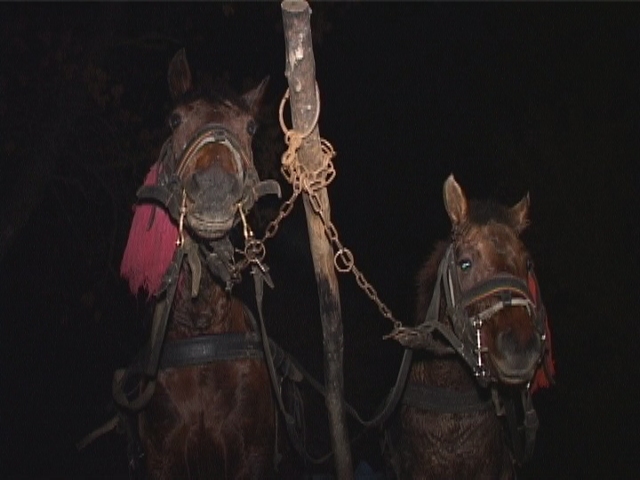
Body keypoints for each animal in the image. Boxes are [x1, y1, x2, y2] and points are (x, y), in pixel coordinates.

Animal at [116, 49, 282, 480]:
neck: (201, 330)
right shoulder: (162, 458)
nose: (214, 190)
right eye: (175, 119)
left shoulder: (253, 454)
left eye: (251, 126)